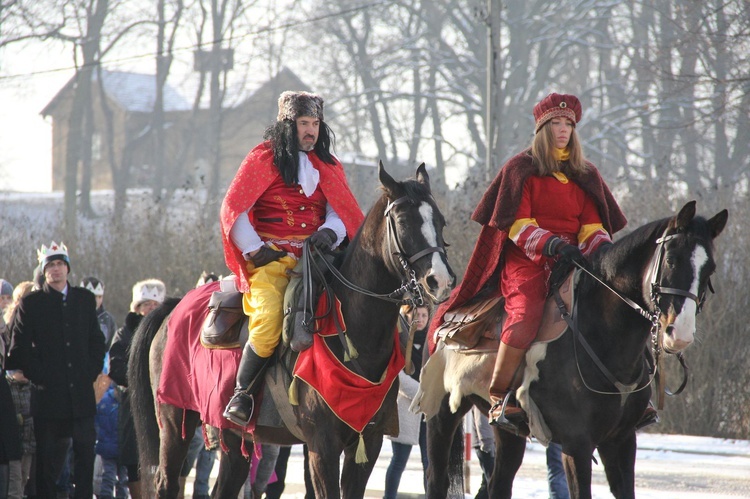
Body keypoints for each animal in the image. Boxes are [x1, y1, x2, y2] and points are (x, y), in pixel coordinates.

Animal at [129, 162, 456, 498]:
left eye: (440, 221)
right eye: (403, 221)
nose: (441, 281)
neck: (352, 337)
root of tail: (174, 306)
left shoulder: (367, 443)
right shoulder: (322, 447)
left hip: (234, 436)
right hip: (173, 422)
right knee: (166, 481)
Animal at [418, 201, 728, 498]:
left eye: (710, 268)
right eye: (672, 260)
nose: (681, 333)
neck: (603, 338)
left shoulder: (621, 441)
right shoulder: (576, 445)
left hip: (509, 432)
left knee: (499, 483)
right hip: (441, 414)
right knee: (436, 479)